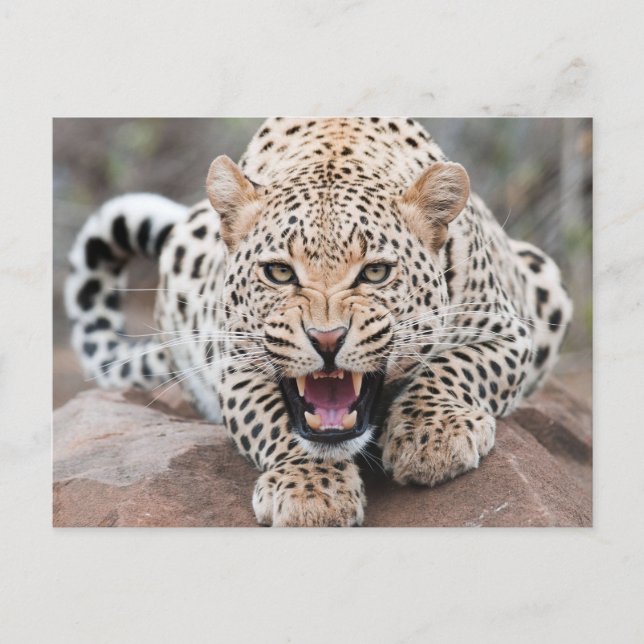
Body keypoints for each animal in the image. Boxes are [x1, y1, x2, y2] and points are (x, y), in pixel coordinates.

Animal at [65, 117, 572, 527]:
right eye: (279, 273)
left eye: (375, 273)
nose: (327, 339)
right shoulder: (235, 364)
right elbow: (274, 423)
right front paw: (311, 492)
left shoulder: (506, 330)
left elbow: (456, 367)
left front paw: (432, 438)